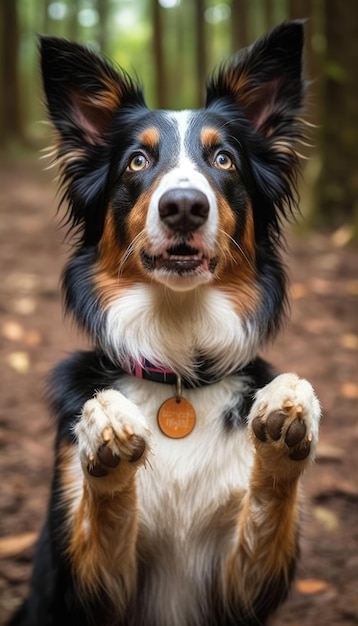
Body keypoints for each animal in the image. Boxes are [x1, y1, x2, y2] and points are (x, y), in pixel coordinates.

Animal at [11, 19, 320, 624]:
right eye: (137, 161)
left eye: (223, 160)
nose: (183, 206)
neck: (178, 367)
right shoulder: (86, 588)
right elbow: (106, 516)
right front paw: (106, 438)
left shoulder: (239, 586)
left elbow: (269, 502)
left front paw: (284, 426)